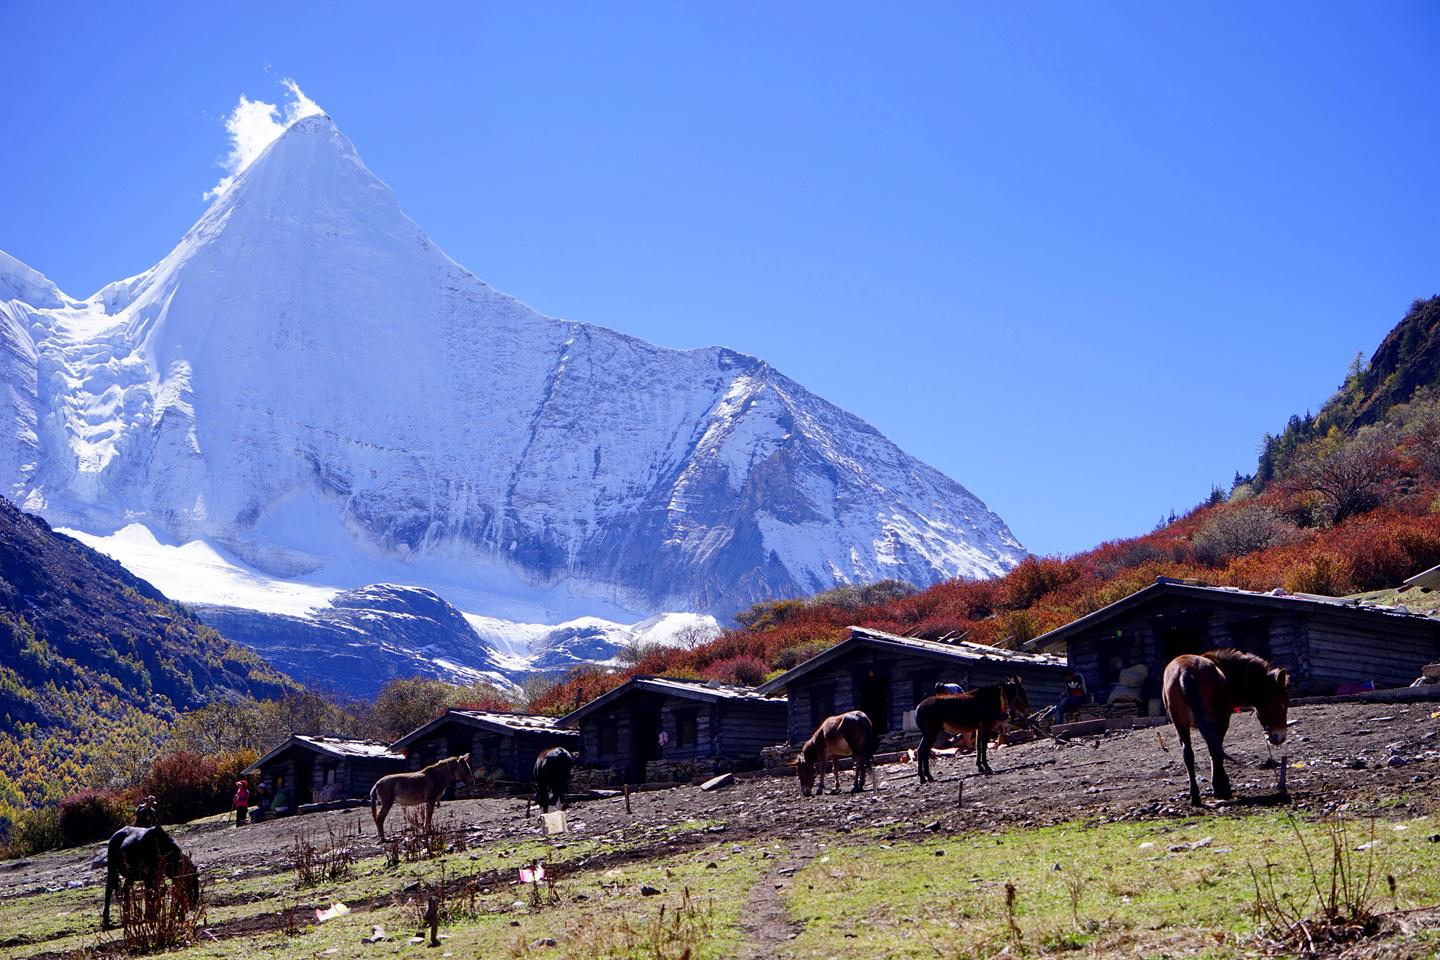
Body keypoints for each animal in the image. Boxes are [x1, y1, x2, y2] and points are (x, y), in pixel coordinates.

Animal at [1157, 650, 1296, 805]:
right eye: (1282, 704)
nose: (1280, 737)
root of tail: (1185, 671)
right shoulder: (1221, 721)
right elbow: (1216, 751)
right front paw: (1221, 787)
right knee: (1214, 749)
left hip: (1181, 724)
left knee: (1188, 754)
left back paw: (1195, 796)